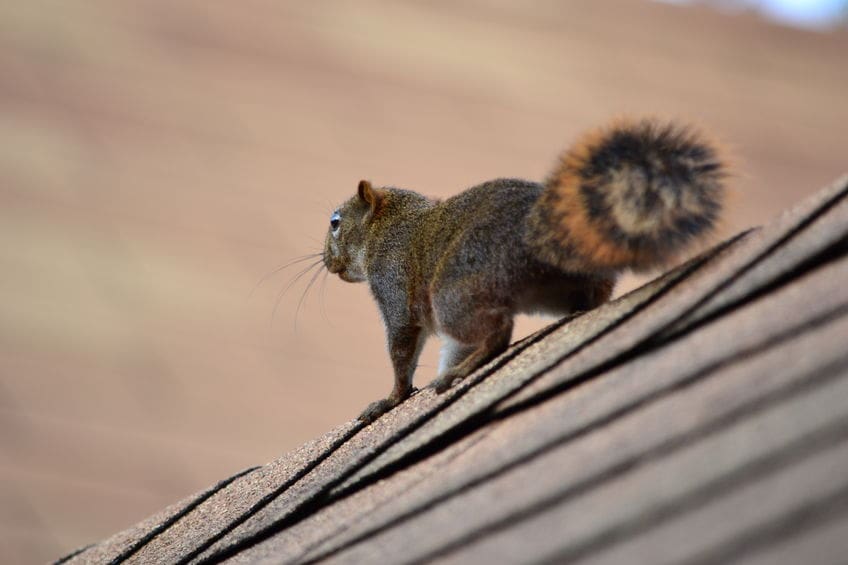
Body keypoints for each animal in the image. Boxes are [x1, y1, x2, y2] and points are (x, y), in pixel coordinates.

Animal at [322, 118, 724, 424]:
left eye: (335, 222)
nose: (325, 260)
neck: (387, 225)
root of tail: (542, 234)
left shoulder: (392, 281)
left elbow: (402, 345)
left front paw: (390, 399)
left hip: (454, 291)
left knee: (498, 329)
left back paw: (466, 368)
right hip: (556, 288)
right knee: (589, 295)